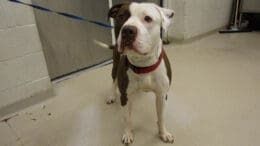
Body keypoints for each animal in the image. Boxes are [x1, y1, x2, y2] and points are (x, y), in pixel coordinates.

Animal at [105, 1, 175, 144]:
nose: (127, 30)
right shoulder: (125, 96)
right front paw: (127, 134)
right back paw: (111, 96)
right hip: (115, 67)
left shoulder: (162, 95)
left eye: (148, 18)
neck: (143, 65)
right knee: (113, 82)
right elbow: (127, 118)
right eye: (121, 16)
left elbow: (161, 117)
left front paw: (163, 133)